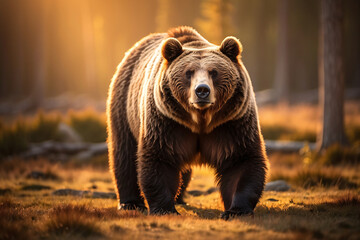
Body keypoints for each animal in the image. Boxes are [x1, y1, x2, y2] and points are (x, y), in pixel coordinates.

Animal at [106, 26, 268, 219]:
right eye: (188, 73)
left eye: (214, 72)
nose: (202, 90)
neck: (200, 119)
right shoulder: (166, 122)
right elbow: (159, 158)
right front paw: (164, 209)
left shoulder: (232, 123)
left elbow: (241, 160)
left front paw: (236, 211)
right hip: (124, 104)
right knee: (125, 153)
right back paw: (130, 203)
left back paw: (180, 198)